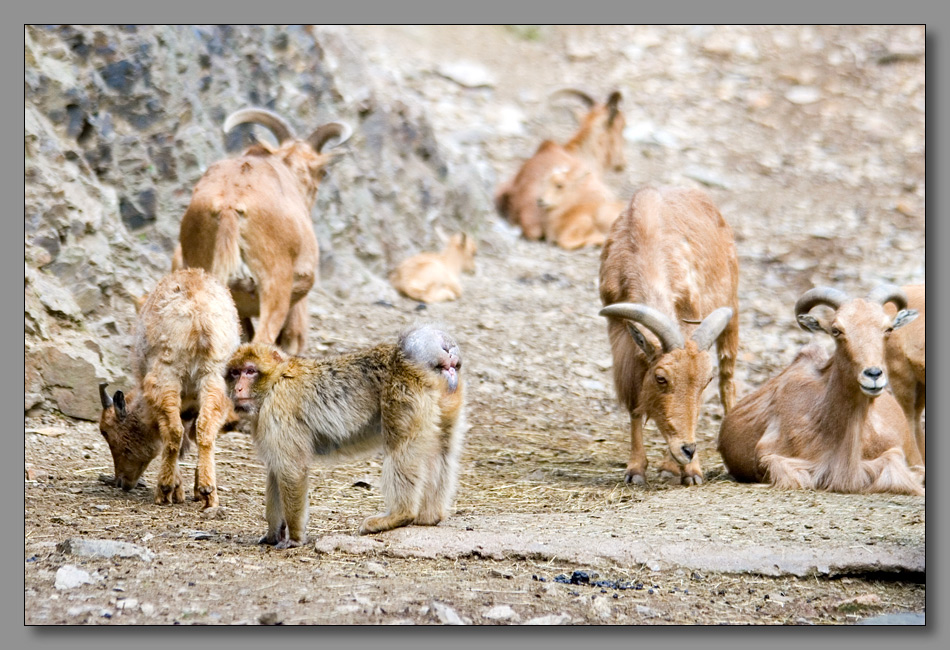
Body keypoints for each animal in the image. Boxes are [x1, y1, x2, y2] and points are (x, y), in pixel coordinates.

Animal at [96, 268, 242, 506]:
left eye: (106, 432)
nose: (122, 482)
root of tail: (199, 316)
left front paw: (175, 489)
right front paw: (193, 489)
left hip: (167, 374)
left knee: (173, 430)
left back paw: (163, 490)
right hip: (215, 377)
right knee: (205, 428)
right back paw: (208, 491)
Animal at [231, 322, 468, 544]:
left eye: (250, 371)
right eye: (235, 373)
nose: (237, 389)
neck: (276, 379)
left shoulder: (278, 410)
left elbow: (291, 470)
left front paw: (295, 538)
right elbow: (276, 470)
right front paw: (272, 534)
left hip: (403, 394)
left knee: (401, 448)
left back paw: (399, 515)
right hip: (447, 398)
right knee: (442, 450)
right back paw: (430, 517)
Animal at [604, 185, 744, 484]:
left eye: (705, 380)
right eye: (661, 378)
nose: (688, 449)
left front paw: (692, 472)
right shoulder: (623, 339)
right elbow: (636, 405)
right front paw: (636, 470)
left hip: (732, 312)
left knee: (729, 382)